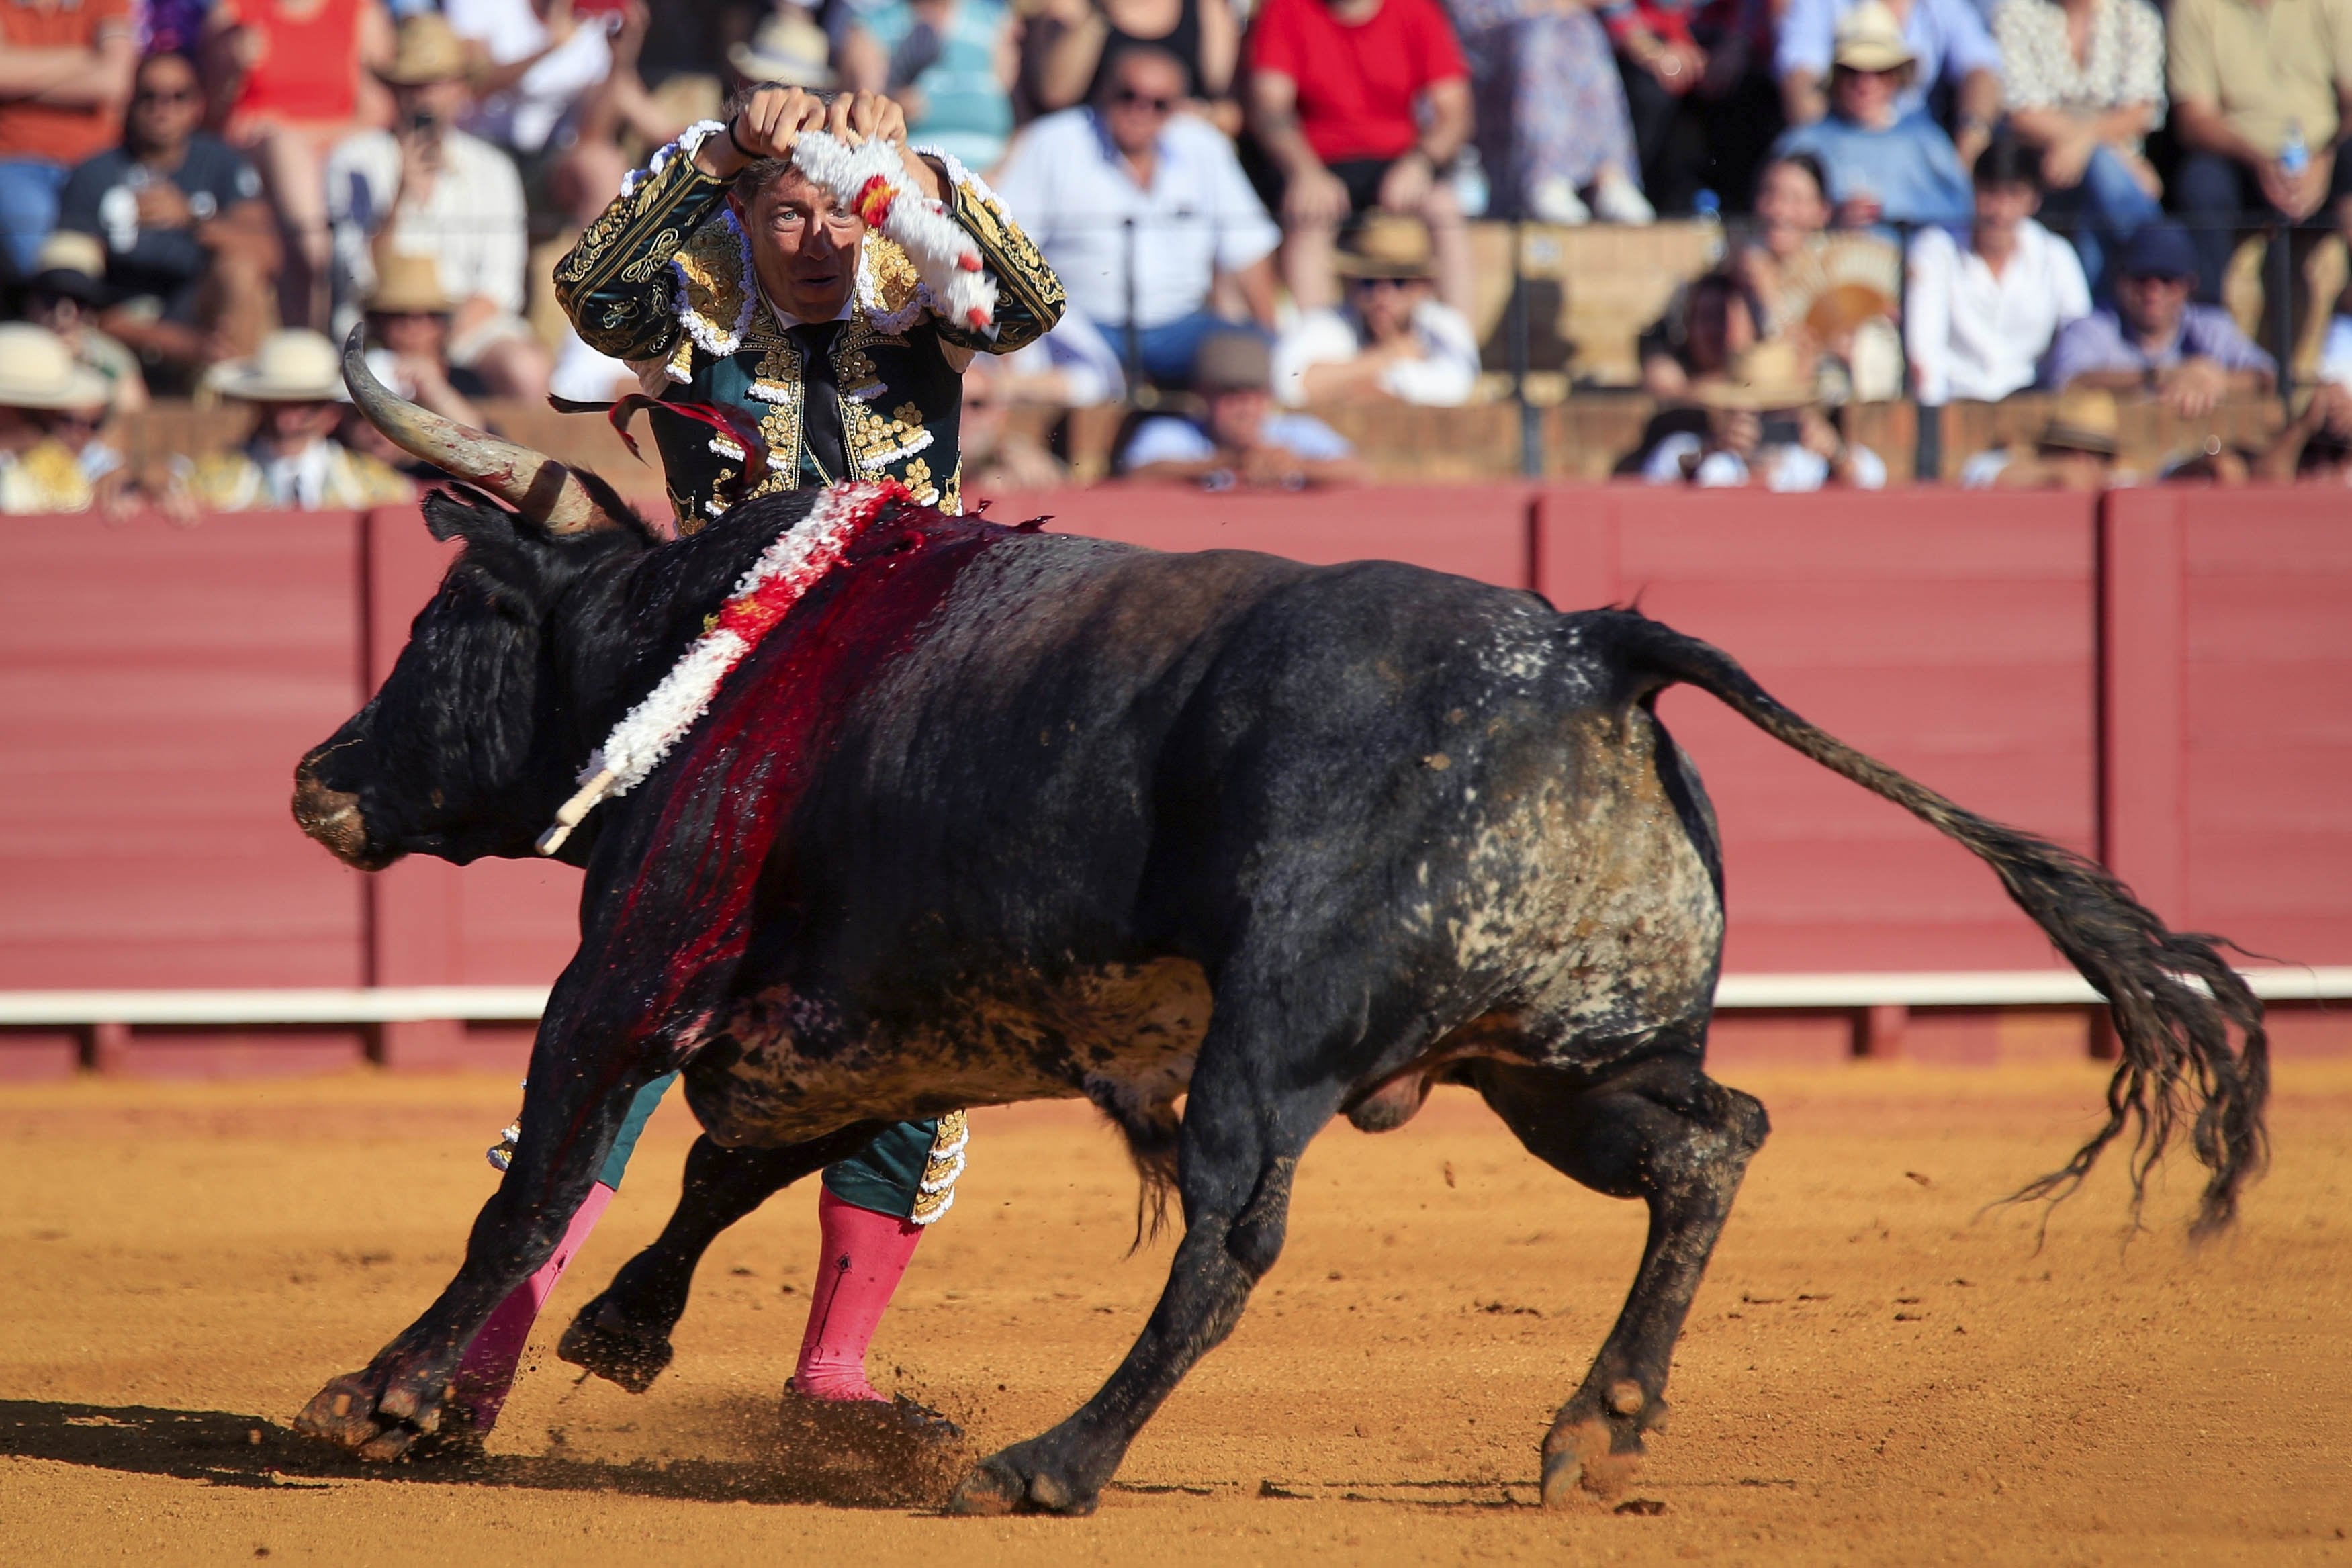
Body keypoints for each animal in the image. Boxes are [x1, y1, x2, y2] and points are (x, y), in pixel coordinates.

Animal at [284, 486, 2267, 1504]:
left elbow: (544, 1174)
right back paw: (1594, 1424)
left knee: (1232, 1235)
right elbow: (727, 1162)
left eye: (440, 625)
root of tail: (1586, 648)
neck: (725, 654)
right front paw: (622, 1331)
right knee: (1712, 1137)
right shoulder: (869, 1023)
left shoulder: (627, 967)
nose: (320, 771)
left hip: (1278, 1050)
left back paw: (1051, 1460)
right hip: (1557, 1061)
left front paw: (383, 1395)